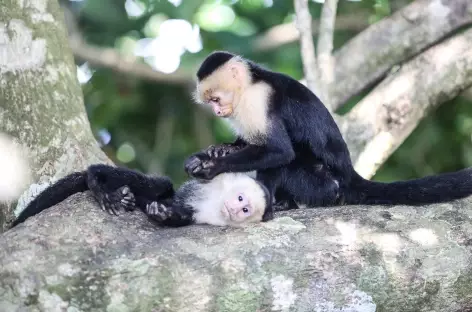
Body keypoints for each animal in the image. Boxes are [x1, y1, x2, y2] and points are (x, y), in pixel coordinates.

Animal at [9, 160, 272, 228]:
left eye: (245, 210)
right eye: (240, 199)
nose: (236, 210)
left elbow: (184, 216)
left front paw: (163, 214)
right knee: (160, 185)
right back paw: (96, 181)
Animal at [183, 50, 472, 219]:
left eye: (216, 99)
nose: (217, 111)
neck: (250, 85)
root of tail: (349, 177)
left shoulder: (257, 99)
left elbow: (278, 150)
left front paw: (215, 166)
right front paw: (220, 149)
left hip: (324, 186)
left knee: (287, 161)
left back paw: (278, 204)